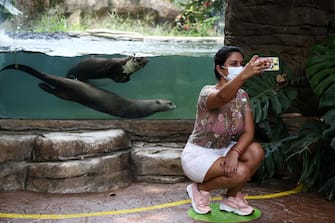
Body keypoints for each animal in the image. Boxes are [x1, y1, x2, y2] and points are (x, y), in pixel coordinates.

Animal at [0, 63, 176, 118]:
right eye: (169, 102)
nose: (174, 105)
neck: (144, 106)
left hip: (67, 93)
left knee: (54, 90)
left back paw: (40, 86)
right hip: (69, 87)